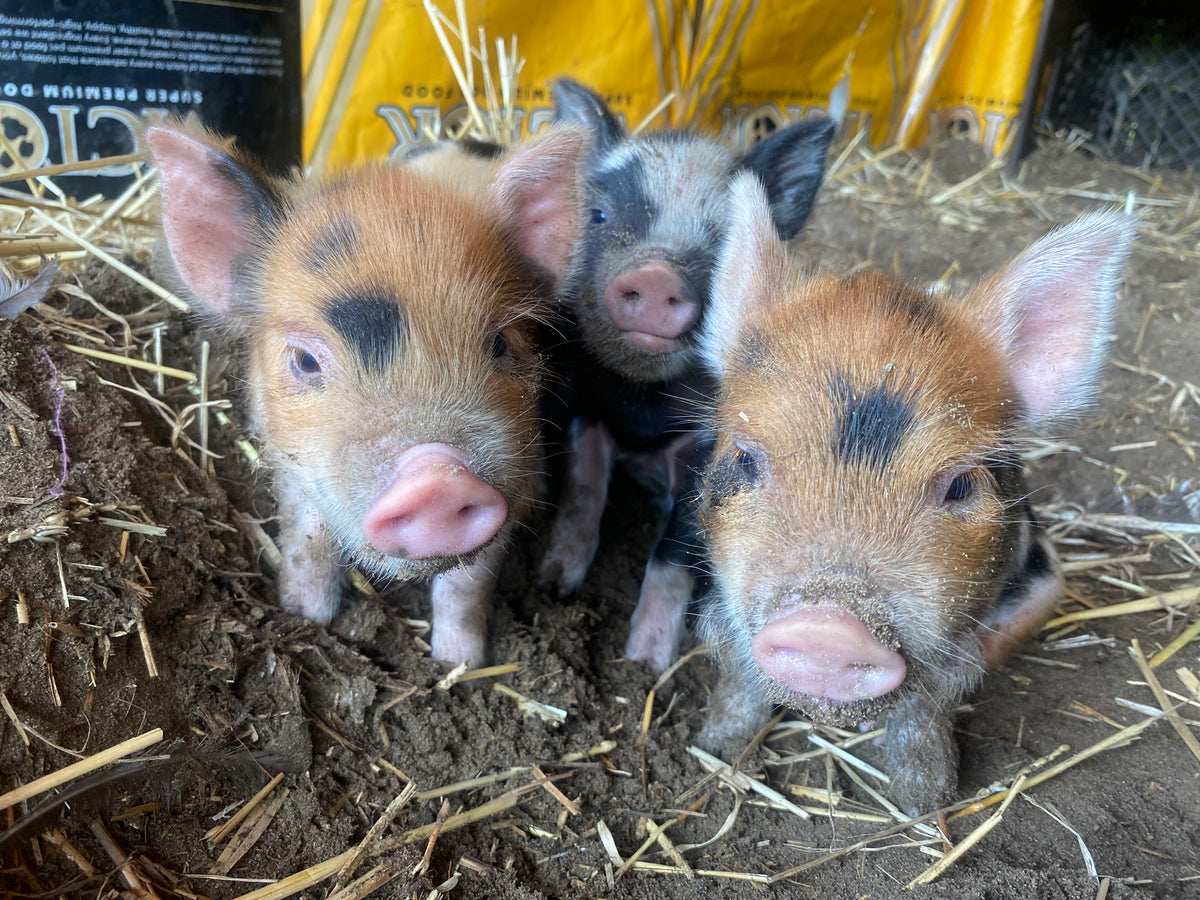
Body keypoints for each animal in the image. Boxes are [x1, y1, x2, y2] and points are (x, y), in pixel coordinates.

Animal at [148, 121, 584, 666]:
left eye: (501, 344)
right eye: (305, 360)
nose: (437, 477)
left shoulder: (511, 478)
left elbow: (467, 585)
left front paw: (460, 663)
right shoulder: (293, 469)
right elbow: (310, 540)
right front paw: (304, 617)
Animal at [540, 78, 836, 672]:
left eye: (727, 239)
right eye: (600, 215)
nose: (656, 274)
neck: (642, 407)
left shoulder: (708, 454)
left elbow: (673, 555)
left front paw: (645, 665)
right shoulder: (586, 407)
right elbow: (582, 493)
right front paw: (553, 587)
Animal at [696, 171, 1135, 812]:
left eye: (960, 484)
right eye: (745, 459)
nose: (827, 625)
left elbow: (930, 704)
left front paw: (926, 802)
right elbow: (737, 678)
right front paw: (716, 751)